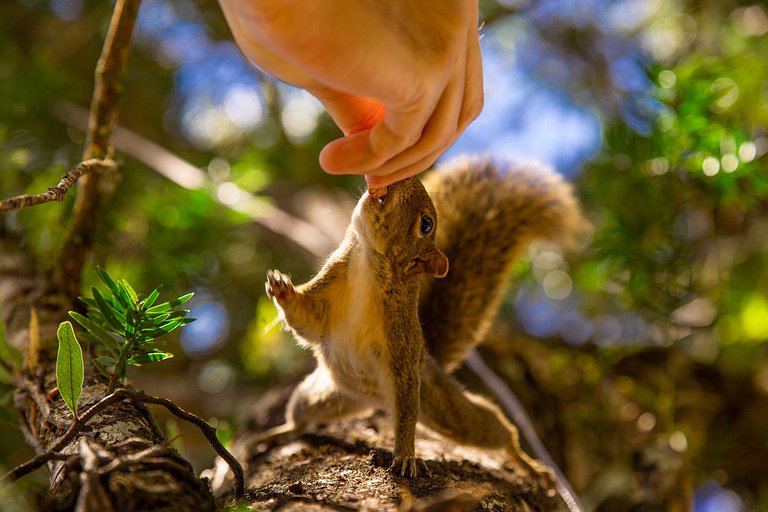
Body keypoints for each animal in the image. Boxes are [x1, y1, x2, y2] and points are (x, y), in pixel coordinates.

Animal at [262, 156, 584, 488]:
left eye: (426, 224)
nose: (405, 176)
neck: (366, 265)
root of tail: (432, 361)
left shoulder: (403, 352)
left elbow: (405, 409)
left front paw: (405, 456)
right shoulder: (326, 297)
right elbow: (306, 322)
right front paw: (282, 289)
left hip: (443, 405)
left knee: (491, 429)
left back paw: (529, 464)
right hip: (326, 396)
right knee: (302, 416)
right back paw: (279, 431)